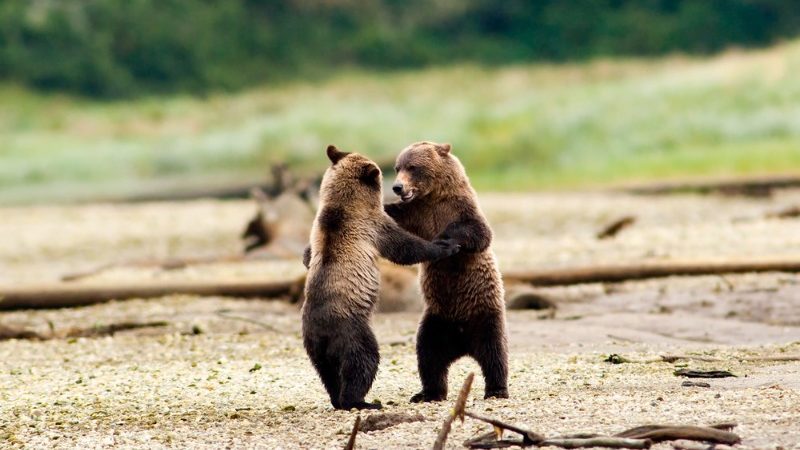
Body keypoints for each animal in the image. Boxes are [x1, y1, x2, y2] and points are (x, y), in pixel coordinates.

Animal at [386, 141, 510, 400]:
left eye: (413, 167)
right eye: (397, 167)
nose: (397, 187)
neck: (433, 197)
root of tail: (462, 344)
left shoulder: (459, 208)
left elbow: (479, 232)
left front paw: (445, 239)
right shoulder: (415, 215)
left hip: (485, 316)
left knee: (494, 352)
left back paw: (496, 390)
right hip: (436, 321)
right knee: (428, 355)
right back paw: (428, 393)